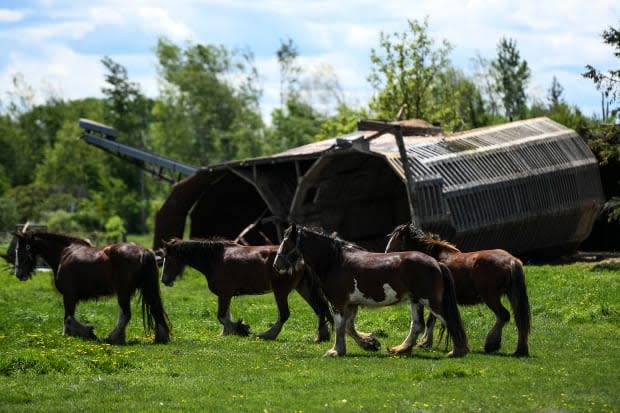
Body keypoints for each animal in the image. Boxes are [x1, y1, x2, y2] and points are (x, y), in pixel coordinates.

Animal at [13, 230, 171, 342]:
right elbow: (69, 317)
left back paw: (113, 337)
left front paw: (84, 333)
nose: (19, 274)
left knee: (126, 314)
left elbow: (68, 318)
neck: (64, 253)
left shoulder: (69, 295)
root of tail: (144, 251)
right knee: (149, 309)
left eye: (20, 250)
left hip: (123, 292)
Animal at [161, 237, 334, 340]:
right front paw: (227, 333)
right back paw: (322, 336)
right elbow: (226, 315)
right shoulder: (226, 295)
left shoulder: (224, 294)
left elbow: (222, 316)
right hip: (303, 288)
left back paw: (268, 334)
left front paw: (240, 328)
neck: (215, 259)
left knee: (285, 314)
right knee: (320, 310)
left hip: (281, 292)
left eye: (168, 258)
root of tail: (300, 258)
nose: (164, 280)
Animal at [274, 224, 468, 356]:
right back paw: (400, 349)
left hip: (431, 301)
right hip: (416, 301)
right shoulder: (351, 304)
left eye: (286, 243)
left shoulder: (338, 302)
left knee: (449, 320)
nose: (277, 265)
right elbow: (348, 327)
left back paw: (458, 351)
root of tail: (437, 263)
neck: (336, 261)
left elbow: (340, 326)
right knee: (417, 325)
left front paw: (336, 351)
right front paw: (369, 343)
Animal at [386, 224, 532, 356]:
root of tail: (512, 260)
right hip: (512, 295)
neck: (434, 257)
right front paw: (426, 342)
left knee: (504, 316)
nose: (387, 255)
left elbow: (430, 320)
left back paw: (491, 343)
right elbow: (432, 319)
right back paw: (520, 350)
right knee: (520, 320)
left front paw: (424, 342)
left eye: (396, 240)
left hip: (490, 297)